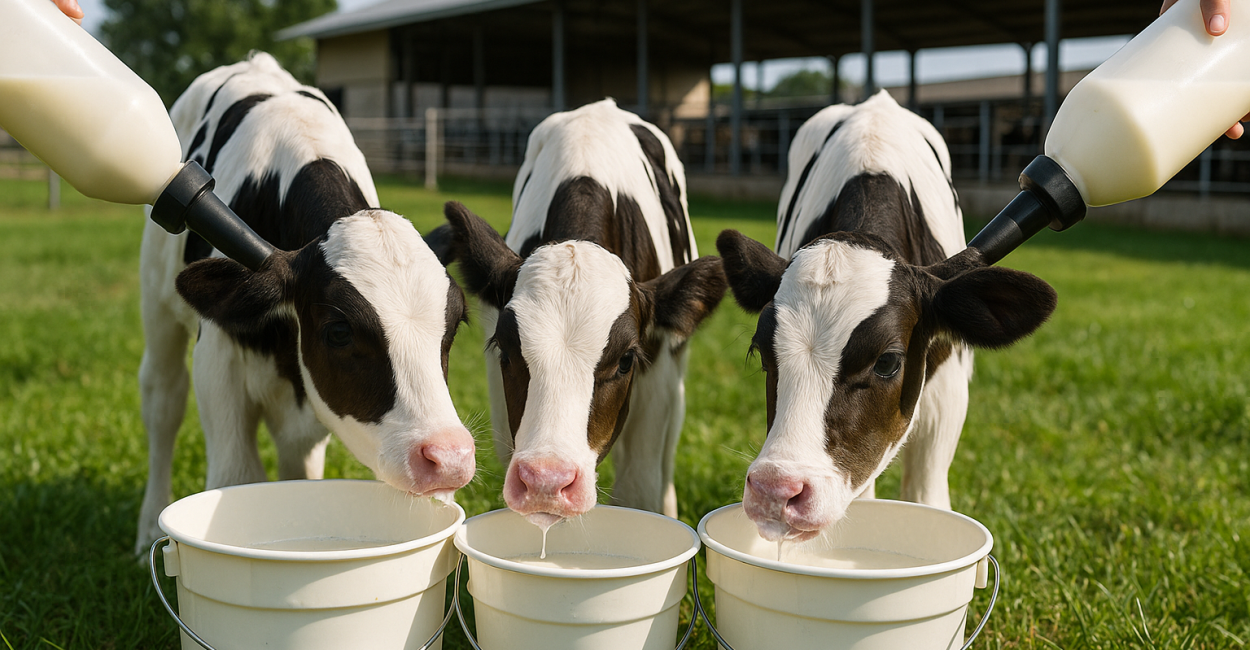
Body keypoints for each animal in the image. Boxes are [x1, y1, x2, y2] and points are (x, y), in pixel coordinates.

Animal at [134, 53, 475, 554]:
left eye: (454, 324)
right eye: (339, 331)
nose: (449, 457)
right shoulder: (217, 362)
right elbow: (236, 475)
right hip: (157, 301)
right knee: (162, 400)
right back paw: (145, 531)